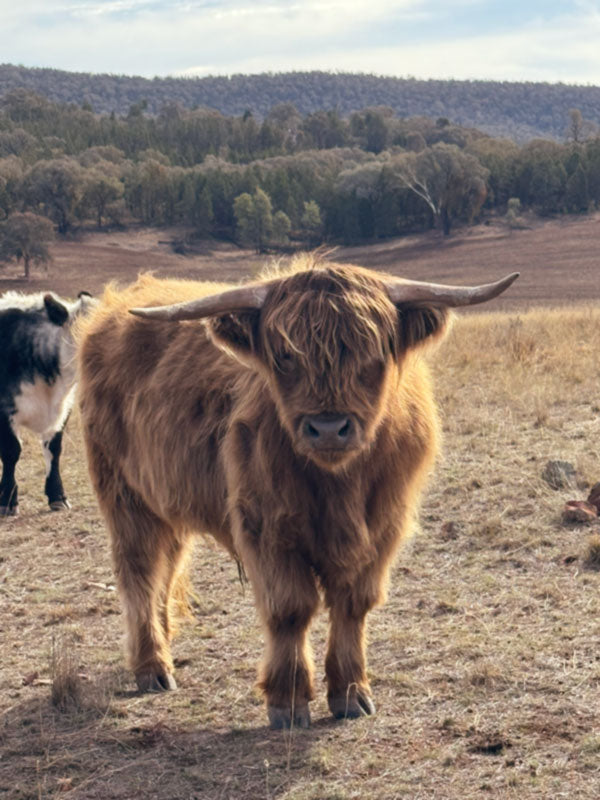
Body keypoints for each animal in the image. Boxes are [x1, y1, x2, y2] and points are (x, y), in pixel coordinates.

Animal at [0, 290, 95, 515]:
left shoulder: (62, 410)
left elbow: (54, 450)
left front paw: (57, 496)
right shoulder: (4, 410)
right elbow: (11, 451)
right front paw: (8, 501)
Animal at [76, 257, 518, 729]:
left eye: (373, 355)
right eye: (285, 356)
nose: (328, 427)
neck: (339, 485)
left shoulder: (383, 527)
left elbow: (354, 605)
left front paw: (351, 692)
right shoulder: (267, 527)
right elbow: (290, 609)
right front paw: (287, 700)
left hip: (167, 499)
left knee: (167, 566)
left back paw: (166, 644)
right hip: (124, 494)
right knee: (138, 570)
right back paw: (152, 666)